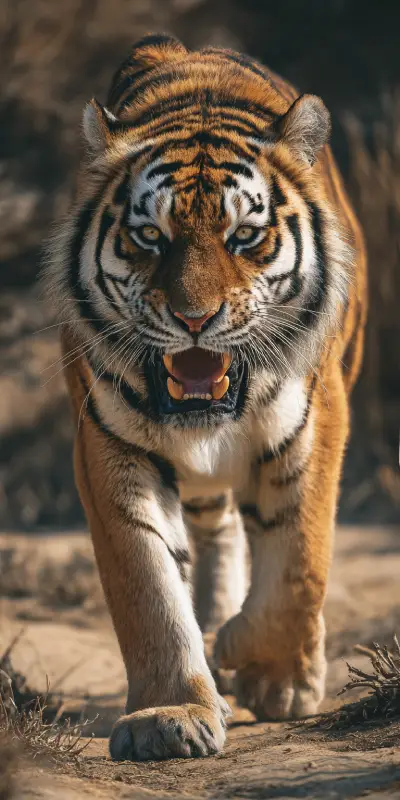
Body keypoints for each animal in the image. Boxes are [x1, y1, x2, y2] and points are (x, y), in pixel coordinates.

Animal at [45, 33, 367, 761]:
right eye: (149, 236)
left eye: (244, 236)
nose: (195, 319)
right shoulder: (109, 445)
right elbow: (148, 588)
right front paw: (170, 715)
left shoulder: (315, 421)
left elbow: (299, 565)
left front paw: (270, 674)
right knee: (217, 527)